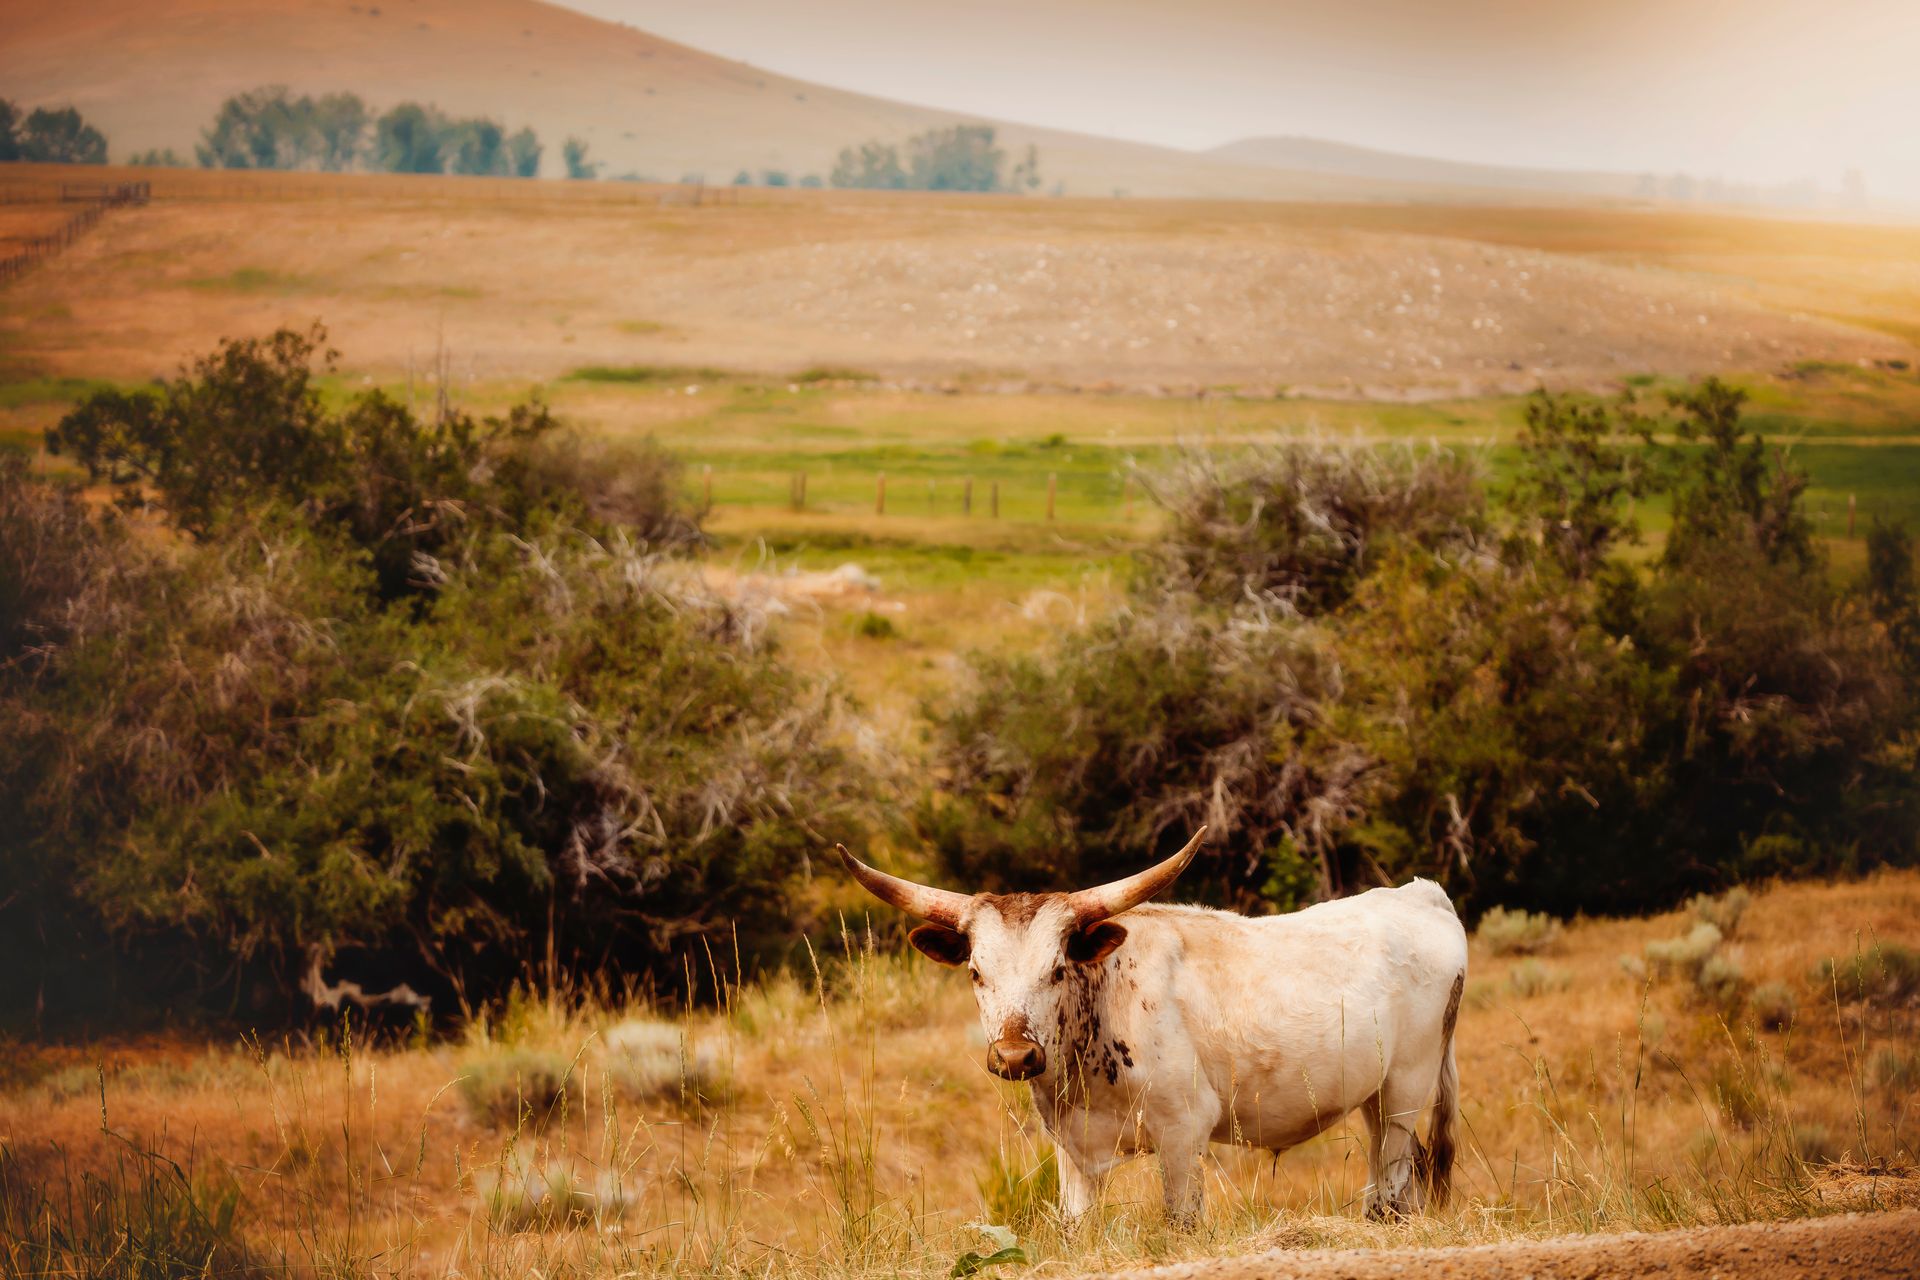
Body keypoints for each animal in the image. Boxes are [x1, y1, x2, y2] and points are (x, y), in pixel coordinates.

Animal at [836, 828, 1468, 1228]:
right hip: (1374, 1097)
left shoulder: (1185, 1133)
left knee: (1391, 1189)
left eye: (1057, 968)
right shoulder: (1072, 1151)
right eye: (975, 972)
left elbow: (1179, 1220)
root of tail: (1422, 895)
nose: (1015, 1056)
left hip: (1406, 1090)